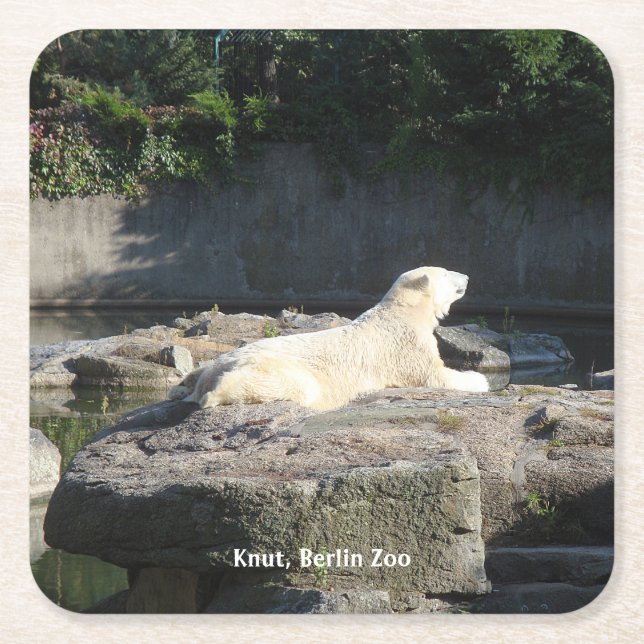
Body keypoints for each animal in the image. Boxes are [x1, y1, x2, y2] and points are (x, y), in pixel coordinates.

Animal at [168, 266, 489, 411]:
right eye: (446, 274)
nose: (467, 277)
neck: (403, 312)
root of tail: (215, 373)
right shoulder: (404, 346)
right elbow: (436, 375)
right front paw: (479, 379)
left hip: (220, 360)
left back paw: (181, 388)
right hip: (275, 368)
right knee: (295, 386)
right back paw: (211, 395)